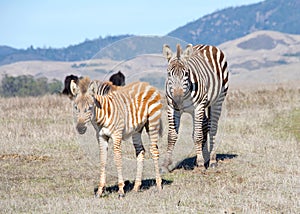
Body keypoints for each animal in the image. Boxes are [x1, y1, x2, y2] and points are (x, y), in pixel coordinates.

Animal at [162, 44, 230, 172]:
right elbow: (172, 135)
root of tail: (208, 45)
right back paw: (205, 157)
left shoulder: (198, 107)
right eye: (169, 74)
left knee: (212, 128)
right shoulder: (172, 108)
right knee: (205, 125)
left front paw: (200, 164)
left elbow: (197, 135)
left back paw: (212, 160)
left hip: (217, 100)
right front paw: (165, 165)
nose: (177, 99)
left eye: (186, 74)